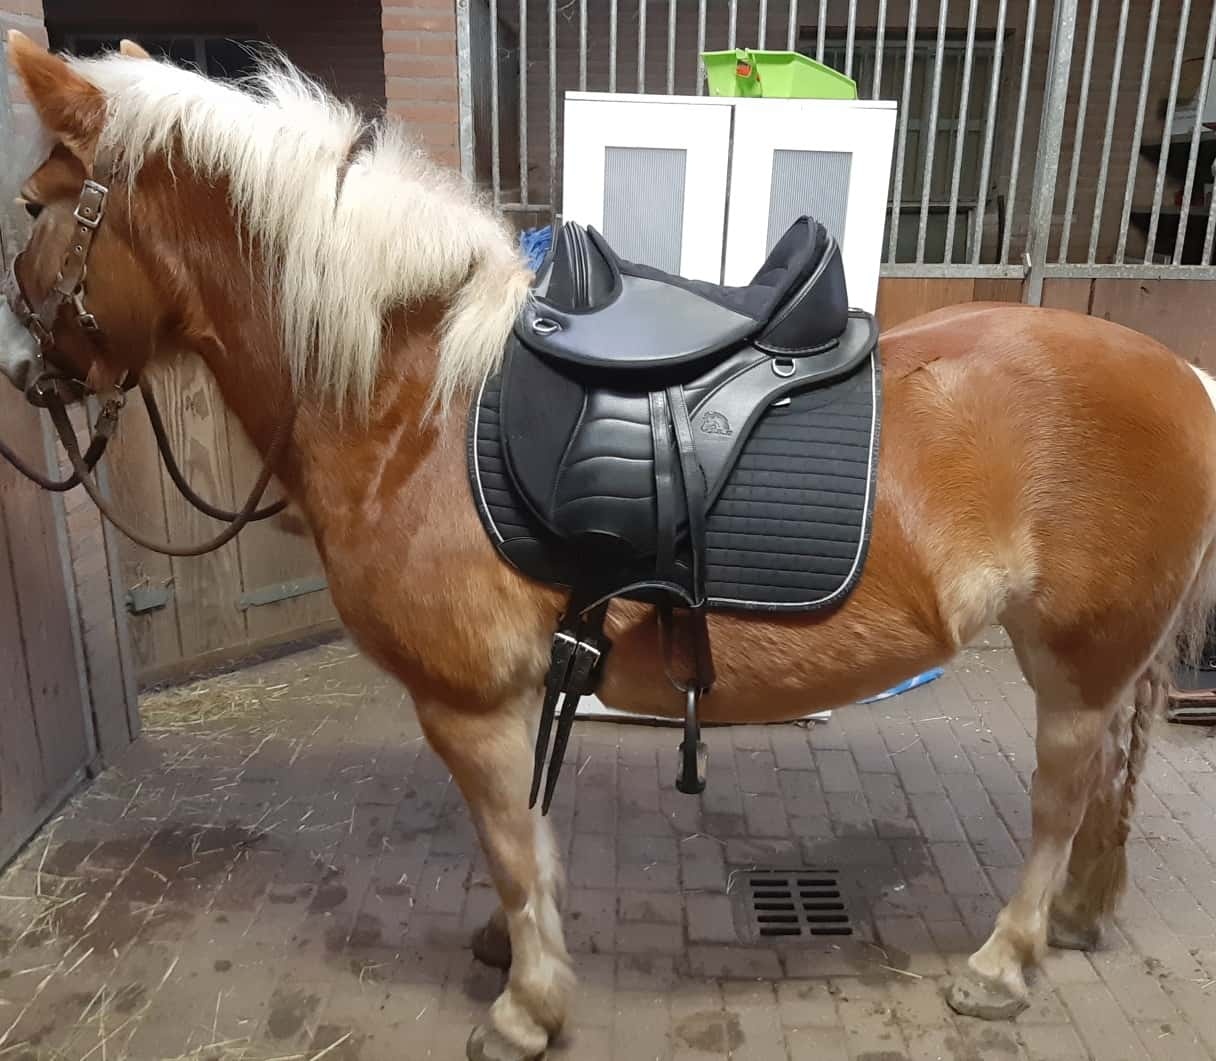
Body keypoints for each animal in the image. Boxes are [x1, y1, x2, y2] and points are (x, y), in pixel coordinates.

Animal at [4, 31, 1216, 1060]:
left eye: (30, 205)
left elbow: (508, 843)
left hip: (1074, 660)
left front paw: (526, 1005)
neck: (410, 401)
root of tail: (1184, 373)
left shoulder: (468, 701)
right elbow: (526, 840)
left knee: (1061, 800)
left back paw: (1005, 959)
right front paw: (515, 950)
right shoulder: (525, 689)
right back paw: (1078, 915)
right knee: (1111, 782)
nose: (28, 377)